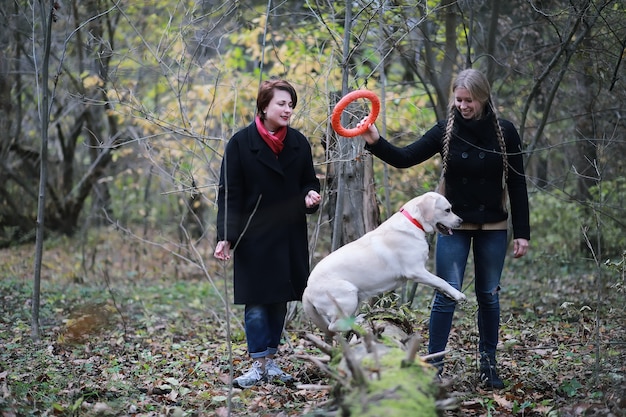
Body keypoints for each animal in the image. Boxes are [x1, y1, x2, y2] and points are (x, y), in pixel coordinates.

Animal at [300, 192, 466, 338]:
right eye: (447, 210)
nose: (461, 221)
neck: (413, 221)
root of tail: (307, 290)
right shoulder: (416, 271)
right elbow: (441, 280)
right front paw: (458, 294)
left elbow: (439, 283)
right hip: (347, 294)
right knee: (334, 325)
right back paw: (358, 321)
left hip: (355, 298)